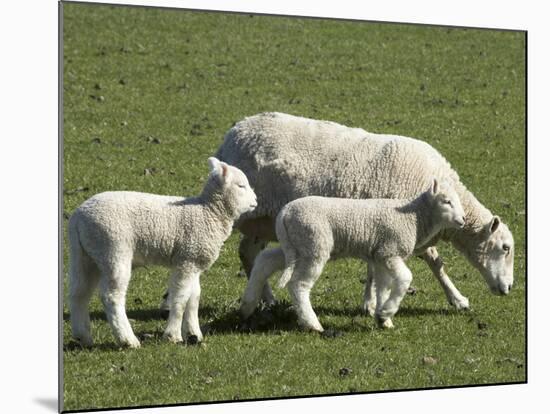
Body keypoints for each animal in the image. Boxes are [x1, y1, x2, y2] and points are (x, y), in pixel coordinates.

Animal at [69, 157, 258, 348]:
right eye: (241, 186)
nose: (256, 200)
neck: (208, 211)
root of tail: (78, 217)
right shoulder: (186, 260)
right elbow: (180, 298)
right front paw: (173, 335)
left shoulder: (193, 260)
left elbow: (194, 298)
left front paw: (193, 334)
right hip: (113, 249)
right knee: (111, 296)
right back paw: (127, 339)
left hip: (85, 254)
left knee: (79, 293)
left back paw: (83, 337)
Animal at [240, 180, 466, 332]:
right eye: (447, 201)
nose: (463, 220)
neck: (415, 217)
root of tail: (284, 213)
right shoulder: (390, 250)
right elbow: (405, 278)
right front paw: (388, 310)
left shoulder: (380, 256)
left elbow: (383, 287)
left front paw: (383, 318)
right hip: (314, 244)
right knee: (298, 285)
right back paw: (312, 324)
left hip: (297, 246)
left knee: (265, 260)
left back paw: (247, 305)